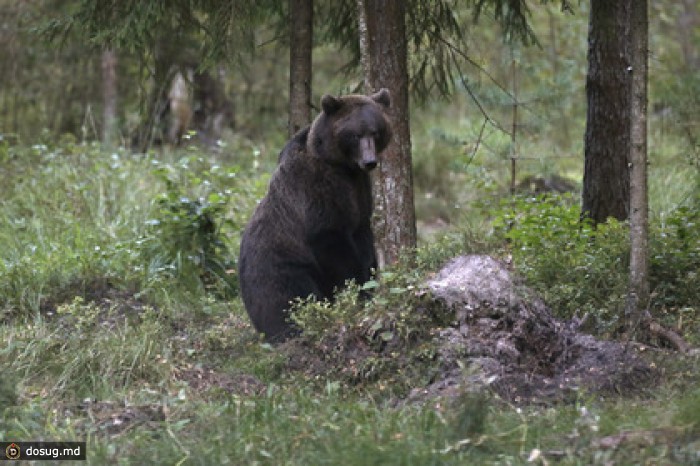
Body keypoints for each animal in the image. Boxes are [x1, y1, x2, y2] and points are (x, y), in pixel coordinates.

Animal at [239, 88, 394, 342]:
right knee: (290, 300)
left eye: (376, 131)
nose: (369, 161)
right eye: (355, 135)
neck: (342, 166)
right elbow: (331, 240)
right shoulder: (315, 188)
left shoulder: (359, 190)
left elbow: (363, 235)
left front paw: (370, 279)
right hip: (282, 268)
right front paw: (357, 287)